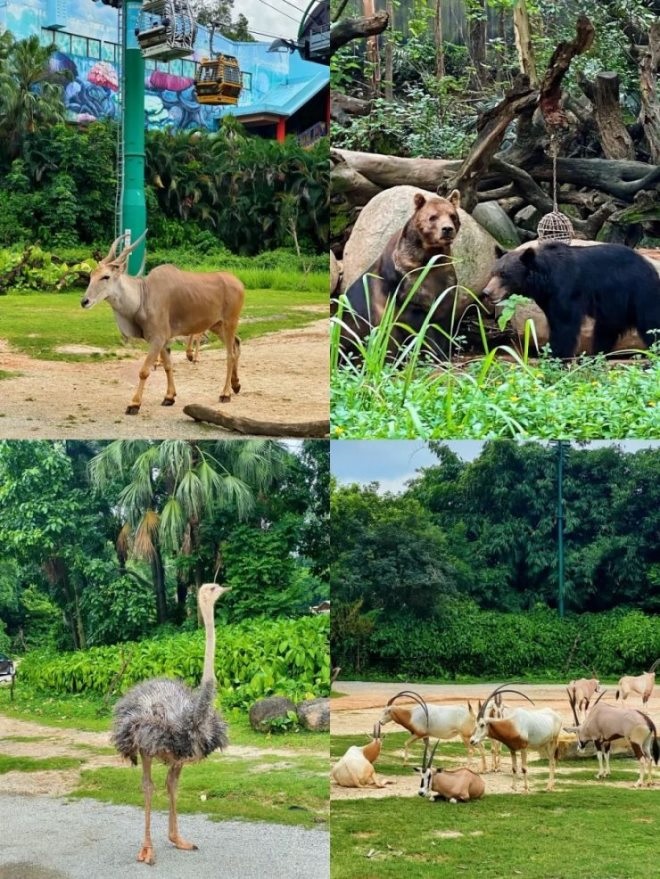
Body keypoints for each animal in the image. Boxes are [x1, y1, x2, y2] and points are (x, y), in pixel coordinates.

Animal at [81, 232, 244, 414]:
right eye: (91, 276)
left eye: (106, 276)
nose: (84, 301)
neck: (144, 295)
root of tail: (238, 282)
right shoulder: (164, 340)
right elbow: (168, 365)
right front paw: (169, 397)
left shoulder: (157, 339)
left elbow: (144, 371)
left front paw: (134, 404)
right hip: (217, 326)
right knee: (236, 344)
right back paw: (236, 385)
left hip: (229, 323)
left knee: (230, 355)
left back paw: (225, 393)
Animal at [340, 191, 464, 362]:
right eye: (433, 217)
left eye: (452, 215)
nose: (447, 229)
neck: (427, 258)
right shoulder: (404, 286)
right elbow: (417, 325)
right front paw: (432, 354)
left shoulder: (445, 280)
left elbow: (442, 321)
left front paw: (443, 355)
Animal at [482, 241, 660, 358]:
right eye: (493, 272)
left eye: (504, 274)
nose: (487, 292)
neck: (545, 281)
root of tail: (650, 266)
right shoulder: (548, 298)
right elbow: (555, 322)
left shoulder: (566, 290)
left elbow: (564, 325)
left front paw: (557, 356)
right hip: (614, 308)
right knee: (604, 331)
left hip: (639, 293)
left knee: (650, 325)